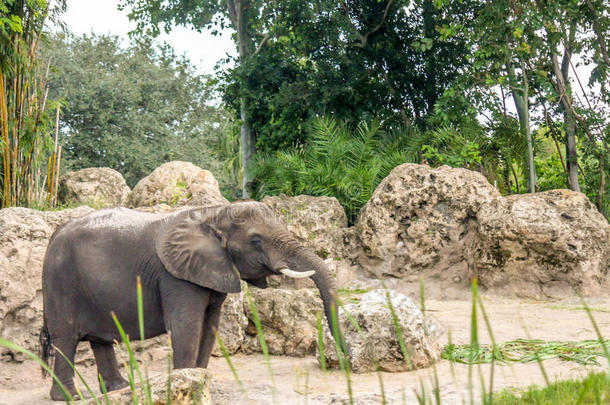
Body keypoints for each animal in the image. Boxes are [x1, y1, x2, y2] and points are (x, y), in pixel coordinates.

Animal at [40, 200, 346, 400]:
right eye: (256, 241)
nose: (344, 358)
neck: (214, 214)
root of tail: (54, 233)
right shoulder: (175, 276)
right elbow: (188, 326)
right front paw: (183, 385)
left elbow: (209, 326)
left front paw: (198, 382)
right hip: (60, 281)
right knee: (65, 339)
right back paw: (70, 397)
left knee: (100, 340)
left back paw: (119, 389)